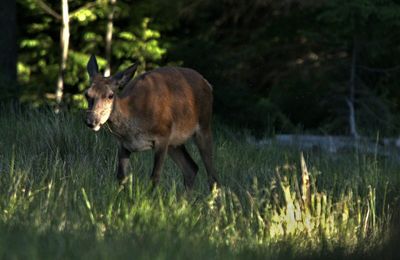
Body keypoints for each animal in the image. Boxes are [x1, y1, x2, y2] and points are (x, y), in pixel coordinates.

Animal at [82, 54, 217, 189]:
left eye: (110, 95)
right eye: (87, 94)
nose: (92, 121)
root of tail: (208, 84)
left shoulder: (163, 136)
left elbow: (154, 177)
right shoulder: (122, 144)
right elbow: (122, 177)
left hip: (204, 125)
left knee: (212, 176)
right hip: (174, 143)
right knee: (191, 168)